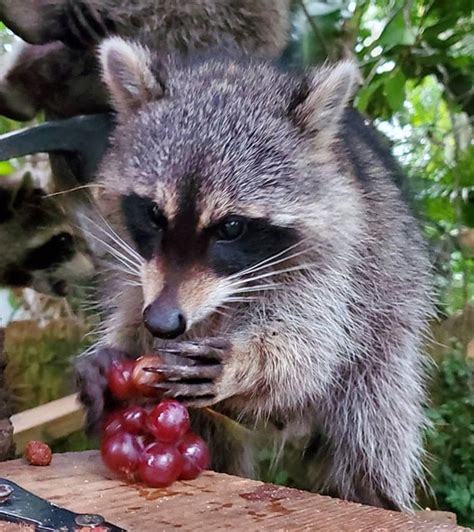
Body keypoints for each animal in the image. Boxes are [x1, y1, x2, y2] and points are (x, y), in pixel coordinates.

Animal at [76, 37, 436, 512]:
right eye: (153, 214)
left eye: (230, 227)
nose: (163, 323)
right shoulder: (138, 262)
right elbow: (133, 298)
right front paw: (115, 347)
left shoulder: (337, 263)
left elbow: (311, 348)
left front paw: (249, 361)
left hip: (387, 333)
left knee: (373, 418)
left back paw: (375, 494)